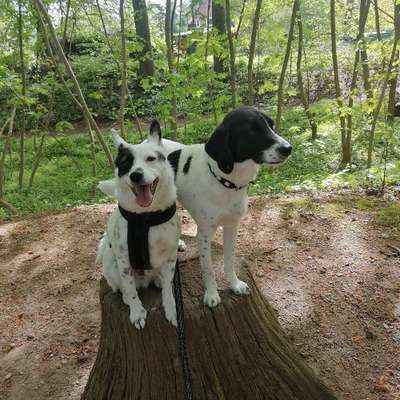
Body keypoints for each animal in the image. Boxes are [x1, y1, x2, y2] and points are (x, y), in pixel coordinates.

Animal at [96, 121, 180, 328]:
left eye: (151, 158)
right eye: (126, 163)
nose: (136, 175)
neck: (146, 218)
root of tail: (145, 278)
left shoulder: (170, 257)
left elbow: (168, 288)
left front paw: (171, 308)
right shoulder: (124, 261)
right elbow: (131, 290)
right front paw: (137, 312)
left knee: (160, 279)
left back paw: (158, 279)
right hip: (112, 267)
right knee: (123, 287)